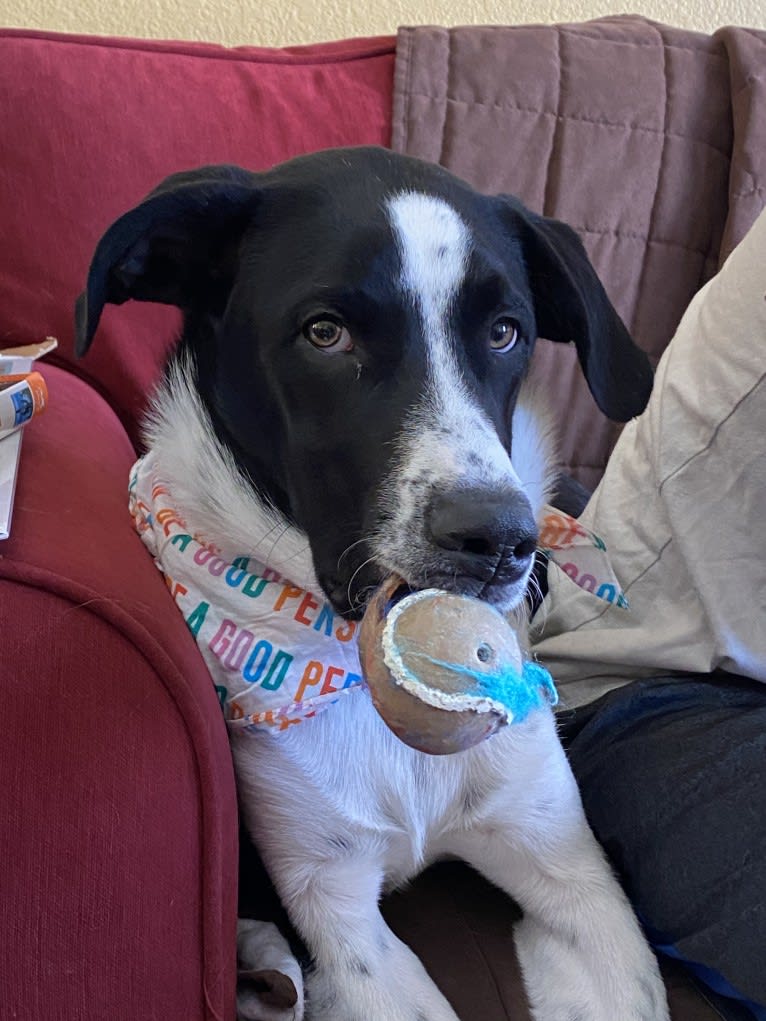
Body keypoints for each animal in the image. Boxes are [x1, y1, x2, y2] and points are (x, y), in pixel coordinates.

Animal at [75, 146, 669, 1021]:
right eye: (326, 332)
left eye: (505, 332)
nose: (500, 539)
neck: (352, 666)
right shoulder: (336, 916)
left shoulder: (574, 878)